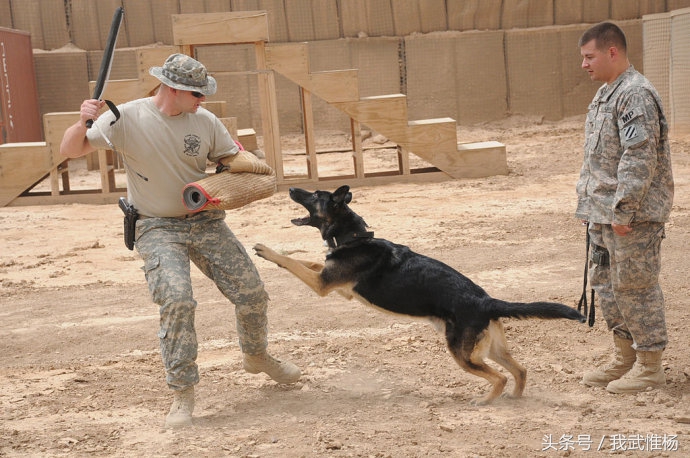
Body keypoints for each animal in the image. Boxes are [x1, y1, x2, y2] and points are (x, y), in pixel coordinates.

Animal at [253, 186, 580, 404]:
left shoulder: (322, 284)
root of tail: (486, 301)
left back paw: (487, 401)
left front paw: (266, 250)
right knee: (520, 370)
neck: (354, 237)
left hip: (463, 354)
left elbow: (293, 261)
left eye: (314, 195)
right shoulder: (330, 279)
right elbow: (307, 260)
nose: (291, 187)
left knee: (499, 376)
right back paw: (515, 398)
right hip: (490, 349)